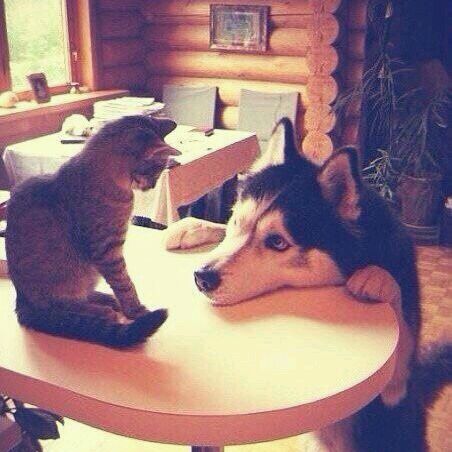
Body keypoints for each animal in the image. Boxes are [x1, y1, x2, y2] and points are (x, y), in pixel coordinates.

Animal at [5, 115, 179, 347]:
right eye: (158, 169)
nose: (151, 186)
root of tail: (22, 304)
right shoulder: (107, 251)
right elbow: (125, 284)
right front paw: (135, 310)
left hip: (89, 272)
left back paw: (105, 300)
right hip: (67, 279)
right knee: (62, 308)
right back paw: (101, 310)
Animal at [165, 118, 451, 451]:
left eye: (278, 242)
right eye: (237, 220)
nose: (203, 277)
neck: (364, 246)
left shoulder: (393, 390)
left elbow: (400, 340)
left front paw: (378, 279)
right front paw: (186, 227)